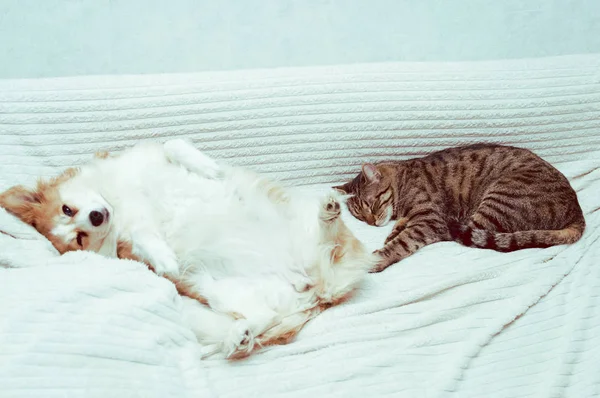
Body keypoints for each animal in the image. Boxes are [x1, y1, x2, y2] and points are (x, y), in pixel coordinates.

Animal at [0, 140, 378, 358]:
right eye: (78, 238)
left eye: (67, 209)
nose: (96, 217)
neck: (118, 200)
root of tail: (316, 291)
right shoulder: (132, 240)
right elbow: (145, 237)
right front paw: (164, 256)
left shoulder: (149, 156)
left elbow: (173, 144)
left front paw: (206, 167)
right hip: (218, 287)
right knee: (263, 316)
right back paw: (239, 337)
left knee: (324, 246)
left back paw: (326, 211)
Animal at [338, 144, 584, 274]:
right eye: (360, 217)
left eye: (372, 204)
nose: (371, 222)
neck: (403, 179)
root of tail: (576, 210)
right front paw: (395, 229)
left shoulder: (430, 220)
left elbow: (404, 240)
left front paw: (381, 254)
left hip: (497, 200)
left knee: (460, 231)